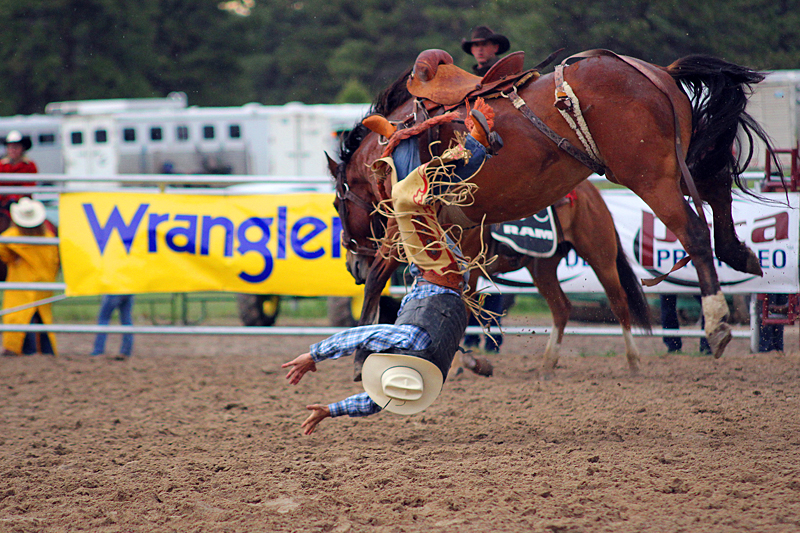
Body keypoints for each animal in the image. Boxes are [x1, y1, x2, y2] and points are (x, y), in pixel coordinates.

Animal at [330, 51, 776, 358]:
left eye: (338, 205)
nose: (351, 265)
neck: (391, 139)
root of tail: (658, 73)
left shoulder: (404, 216)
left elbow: (381, 278)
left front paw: (361, 348)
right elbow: (453, 285)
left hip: (649, 178)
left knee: (694, 234)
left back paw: (717, 323)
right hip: (672, 165)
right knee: (717, 187)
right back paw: (740, 255)